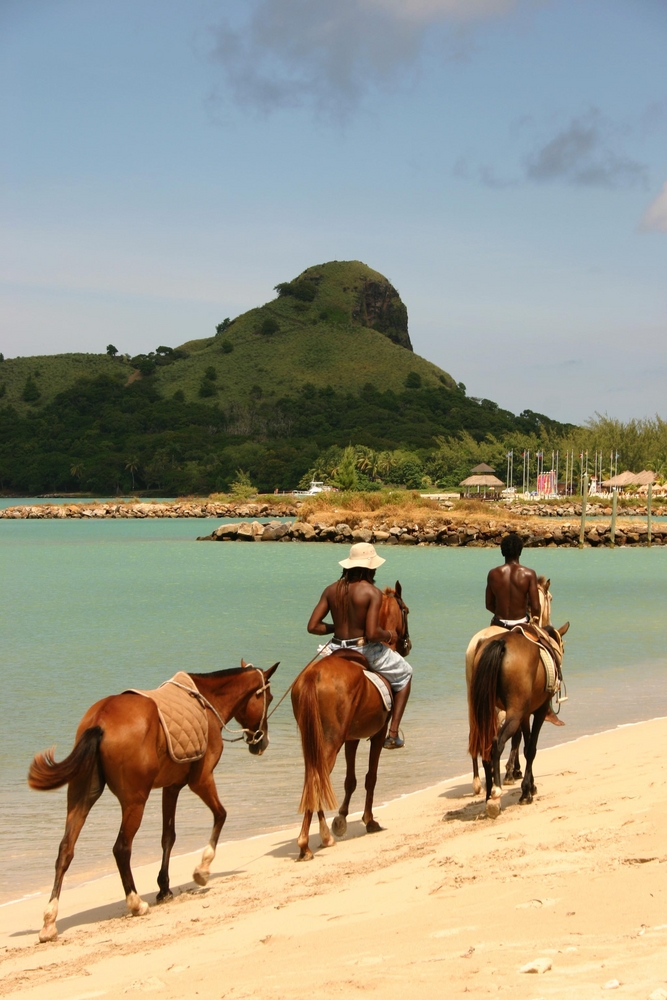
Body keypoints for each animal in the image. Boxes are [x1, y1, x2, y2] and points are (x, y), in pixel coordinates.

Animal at [28, 660, 280, 940]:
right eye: (268, 697)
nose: (261, 743)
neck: (207, 702)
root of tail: (100, 721)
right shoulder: (201, 780)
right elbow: (220, 815)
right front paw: (202, 870)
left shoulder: (171, 788)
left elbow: (168, 837)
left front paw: (164, 888)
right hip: (134, 802)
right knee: (121, 848)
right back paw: (136, 903)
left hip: (81, 798)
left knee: (65, 851)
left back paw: (49, 921)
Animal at [290, 584, 410, 864]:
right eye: (407, 611)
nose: (407, 645)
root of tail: (314, 674)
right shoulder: (376, 734)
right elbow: (369, 778)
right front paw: (369, 820)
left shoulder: (352, 738)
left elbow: (350, 780)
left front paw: (341, 819)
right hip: (329, 742)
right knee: (318, 779)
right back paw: (308, 843)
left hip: (313, 740)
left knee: (313, 779)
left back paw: (320, 837)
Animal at [464, 576, 552, 792]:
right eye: (551, 598)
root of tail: (481, 640)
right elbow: (518, 737)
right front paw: (514, 771)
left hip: (474, 698)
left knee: (475, 734)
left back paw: (477, 781)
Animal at [468, 624, 572, 820]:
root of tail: (501, 642)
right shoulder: (538, 710)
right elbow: (531, 749)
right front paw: (526, 792)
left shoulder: (525, 714)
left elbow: (525, 745)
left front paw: (530, 786)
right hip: (513, 713)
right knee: (497, 743)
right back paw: (496, 793)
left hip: (485, 711)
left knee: (484, 745)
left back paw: (488, 796)